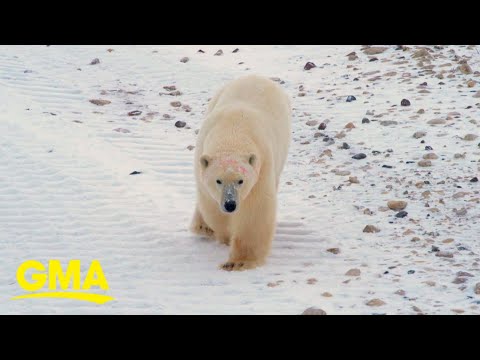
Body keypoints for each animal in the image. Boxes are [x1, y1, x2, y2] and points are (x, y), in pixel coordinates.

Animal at [190, 75, 288, 270]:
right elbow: (211, 205)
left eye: (241, 180)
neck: (233, 130)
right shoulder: (202, 164)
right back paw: (202, 227)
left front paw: (239, 262)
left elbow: (255, 211)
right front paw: (225, 234)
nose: (230, 204)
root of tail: (258, 76)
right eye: (218, 180)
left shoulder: (262, 166)